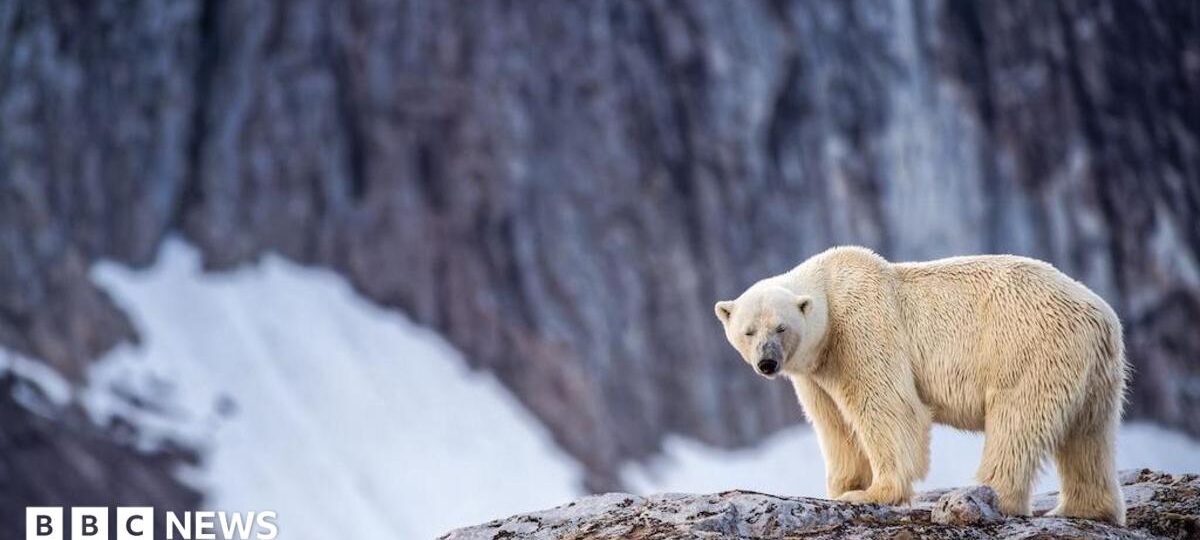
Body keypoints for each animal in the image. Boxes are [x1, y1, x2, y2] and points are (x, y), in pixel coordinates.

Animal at [714, 246, 1127, 524]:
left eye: (781, 328)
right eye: (748, 331)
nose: (767, 363)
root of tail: (1102, 317)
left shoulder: (863, 327)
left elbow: (889, 407)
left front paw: (871, 493)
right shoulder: (816, 371)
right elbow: (834, 424)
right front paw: (843, 488)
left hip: (1029, 345)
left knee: (1017, 419)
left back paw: (986, 496)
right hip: (1095, 371)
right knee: (1088, 435)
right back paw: (1084, 508)